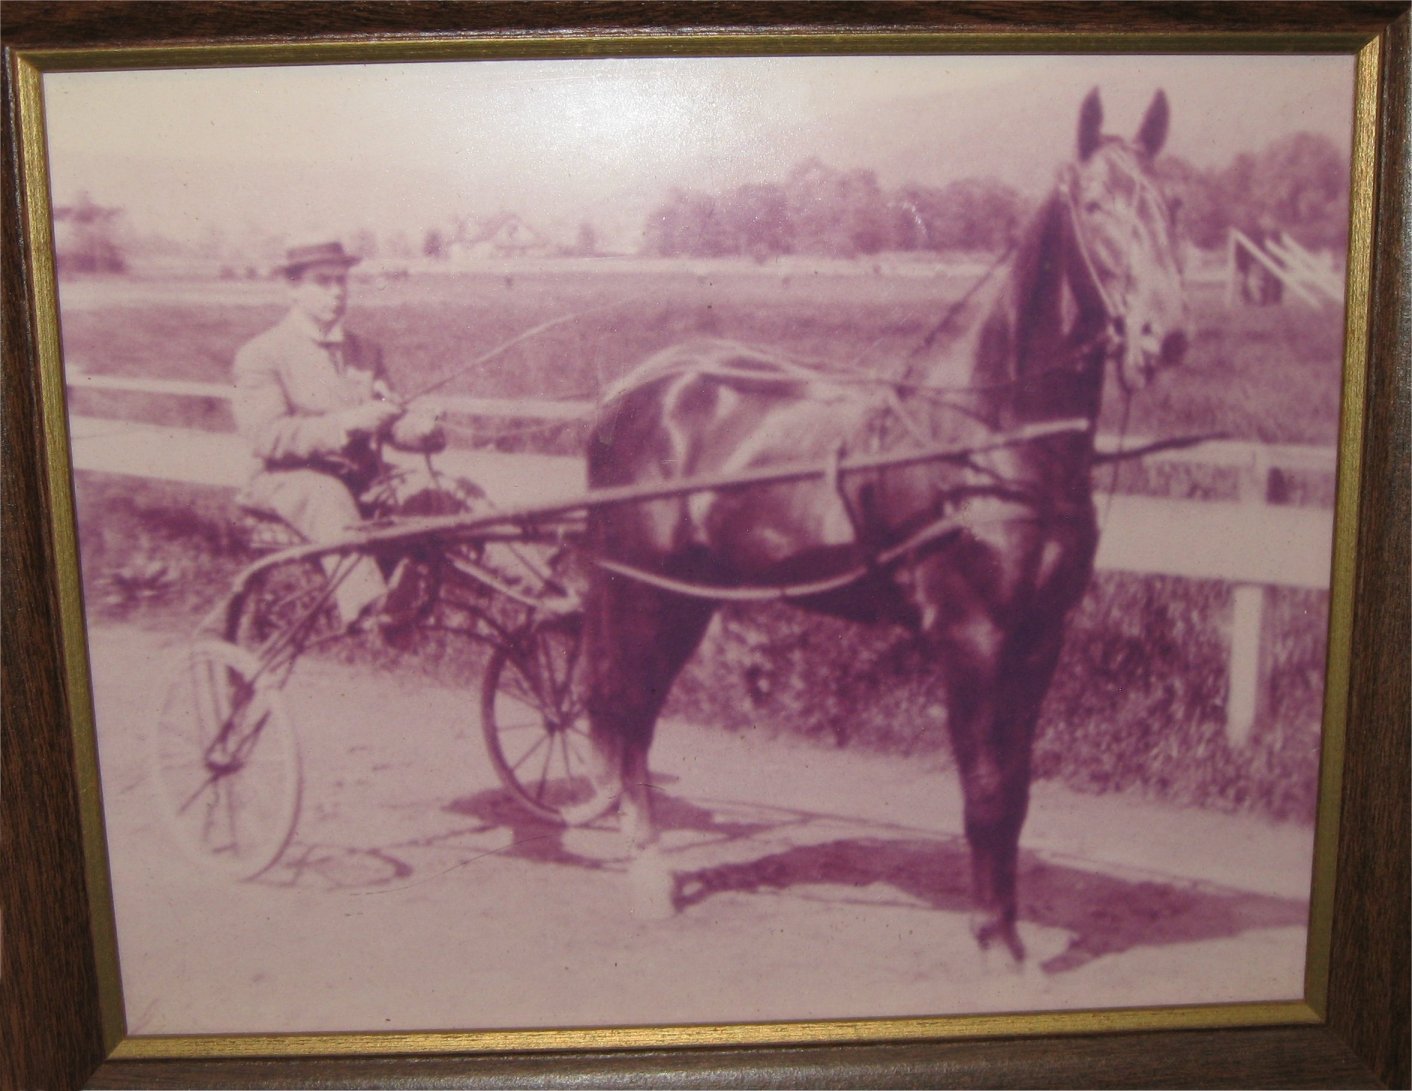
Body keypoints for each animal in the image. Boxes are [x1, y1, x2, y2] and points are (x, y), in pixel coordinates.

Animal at [567, 93, 1186, 959]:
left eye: (1173, 204)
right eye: (1095, 206)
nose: (1166, 333)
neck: (987, 438)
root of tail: (632, 389)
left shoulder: (1041, 635)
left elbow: (1017, 791)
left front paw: (1009, 930)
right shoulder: (972, 634)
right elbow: (986, 790)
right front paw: (995, 940)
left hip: (691, 596)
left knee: (635, 715)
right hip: (647, 591)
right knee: (627, 710)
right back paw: (650, 872)